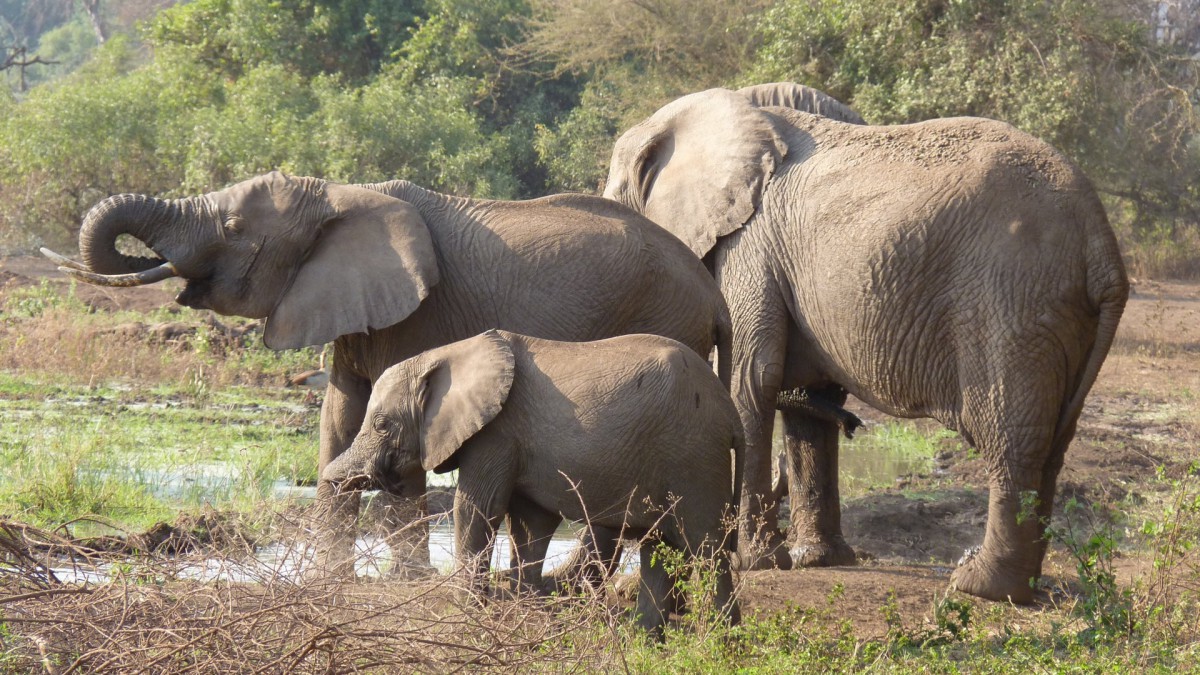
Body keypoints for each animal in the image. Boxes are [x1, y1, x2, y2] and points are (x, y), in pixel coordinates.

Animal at [46, 170, 729, 569]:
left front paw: (404, 592)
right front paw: (328, 595)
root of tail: (714, 294)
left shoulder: (420, 317)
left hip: (661, 323)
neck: (339, 193)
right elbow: (340, 420)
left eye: (234, 228)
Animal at [604, 81, 1128, 600]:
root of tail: (1102, 243)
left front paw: (755, 562)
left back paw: (979, 585)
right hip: (1057, 318)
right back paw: (1020, 584)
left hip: (1013, 303)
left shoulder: (750, 247)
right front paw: (814, 560)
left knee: (1010, 438)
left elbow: (750, 382)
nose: (856, 424)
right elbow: (803, 401)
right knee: (1053, 443)